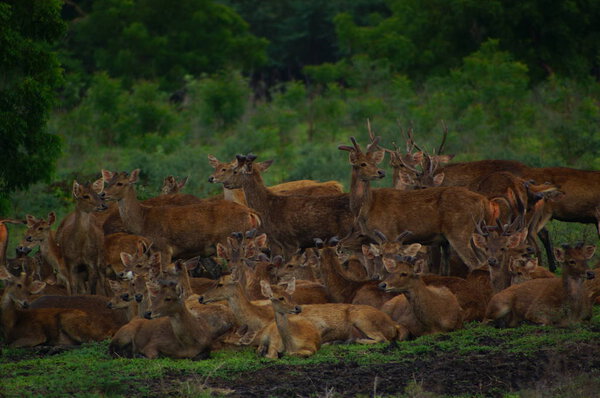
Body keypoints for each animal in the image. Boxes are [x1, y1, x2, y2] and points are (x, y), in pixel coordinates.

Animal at [99, 168, 262, 262]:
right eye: (108, 181)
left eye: (120, 183)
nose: (102, 194)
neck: (143, 222)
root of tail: (251, 213)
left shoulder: (163, 249)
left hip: (229, 239)